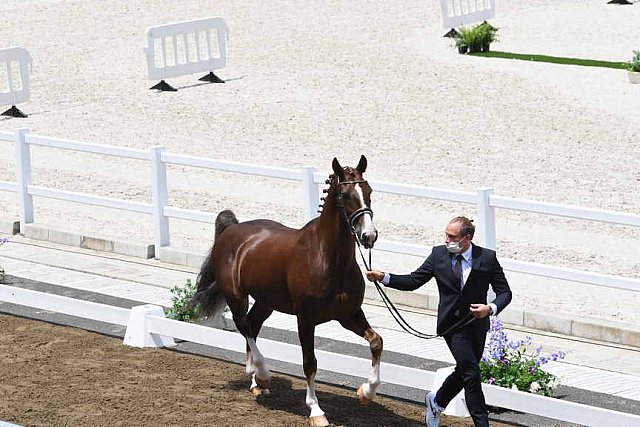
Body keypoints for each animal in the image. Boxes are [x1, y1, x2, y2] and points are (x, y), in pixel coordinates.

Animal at [190, 157, 380, 427]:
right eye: (344, 195)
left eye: (369, 191)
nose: (368, 235)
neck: (327, 259)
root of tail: (231, 231)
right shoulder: (306, 319)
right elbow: (310, 363)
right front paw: (316, 410)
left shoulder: (349, 315)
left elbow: (376, 342)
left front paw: (366, 391)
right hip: (236, 297)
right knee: (244, 326)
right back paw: (261, 374)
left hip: (266, 301)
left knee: (253, 325)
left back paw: (257, 383)